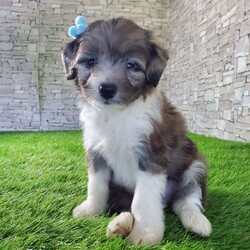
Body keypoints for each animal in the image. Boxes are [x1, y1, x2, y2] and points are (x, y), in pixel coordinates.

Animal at [61, 18, 212, 246]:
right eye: (90, 62)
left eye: (131, 65)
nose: (106, 89)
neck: (117, 114)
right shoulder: (95, 151)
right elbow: (96, 185)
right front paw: (91, 209)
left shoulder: (152, 155)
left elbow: (143, 200)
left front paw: (145, 233)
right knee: (124, 206)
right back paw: (119, 225)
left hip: (194, 165)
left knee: (186, 201)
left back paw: (197, 222)